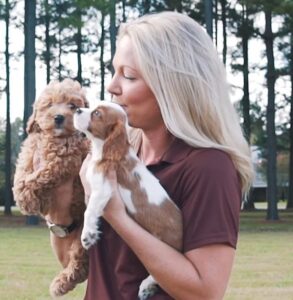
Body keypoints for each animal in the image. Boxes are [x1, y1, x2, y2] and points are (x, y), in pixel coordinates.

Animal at [12, 79, 89, 298]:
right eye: (49, 104)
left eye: (72, 106)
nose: (59, 117)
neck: (54, 138)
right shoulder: (31, 149)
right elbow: (22, 173)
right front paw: (27, 198)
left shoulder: (63, 160)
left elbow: (41, 177)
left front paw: (29, 200)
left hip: (82, 238)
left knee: (80, 265)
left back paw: (60, 284)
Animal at [74, 102, 181, 298]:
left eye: (97, 113)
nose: (77, 109)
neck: (104, 147)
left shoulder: (103, 188)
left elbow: (89, 211)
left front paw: (88, 235)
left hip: (164, 245)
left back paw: (146, 286)